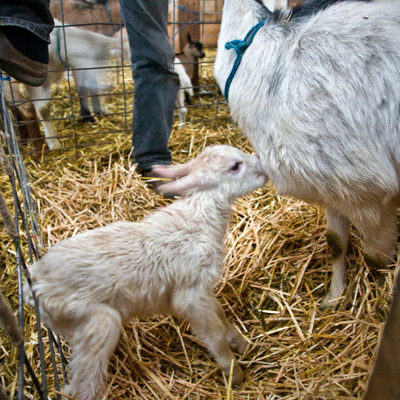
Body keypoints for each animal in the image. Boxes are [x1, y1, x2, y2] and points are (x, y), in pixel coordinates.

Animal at [24, 145, 266, 398]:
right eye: (235, 166)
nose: (262, 162)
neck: (198, 220)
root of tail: (34, 286)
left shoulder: (204, 291)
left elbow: (221, 315)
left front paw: (243, 345)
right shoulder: (189, 294)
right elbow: (214, 335)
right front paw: (235, 374)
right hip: (98, 324)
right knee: (84, 383)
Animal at [216, 0, 400, 308]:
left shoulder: (370, 192)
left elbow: (378, 259)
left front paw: (373, 302)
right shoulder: (334, 183)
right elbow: (335, 242)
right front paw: (332, 298)